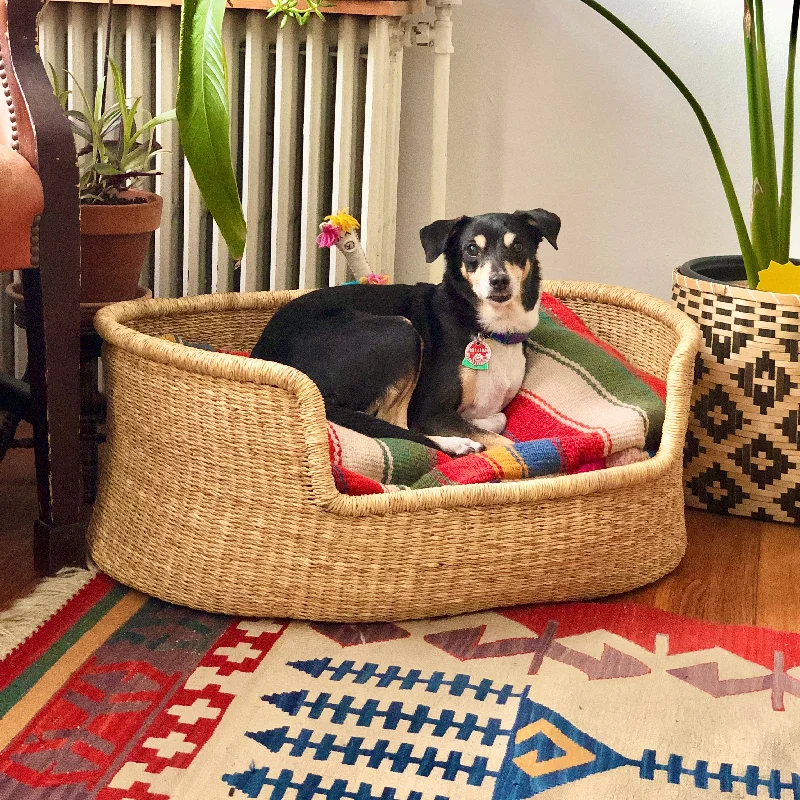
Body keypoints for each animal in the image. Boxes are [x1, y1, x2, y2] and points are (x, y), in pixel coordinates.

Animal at [253, 209, 560, 454]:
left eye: (518, 245)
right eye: (471, 249)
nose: (499, 281)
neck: (487, 328)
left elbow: (498, 419)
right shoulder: (429, 412)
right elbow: (506, 441)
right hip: (401, 331)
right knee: (396, 425)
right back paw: (458, 445)